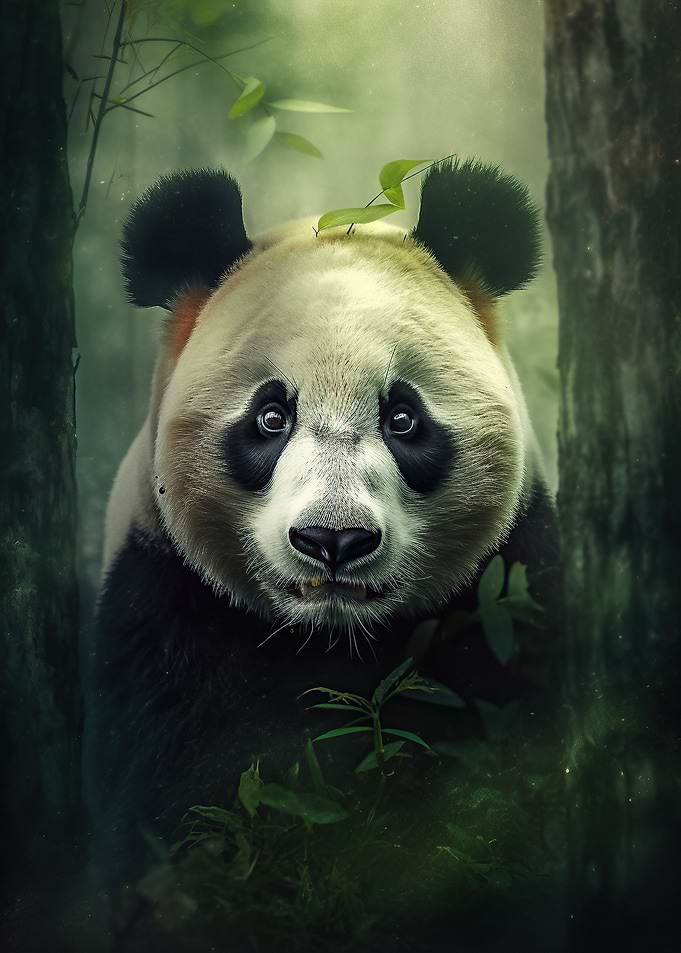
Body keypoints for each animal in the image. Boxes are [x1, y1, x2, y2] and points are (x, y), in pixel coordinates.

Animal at [87, 158, 558, 888]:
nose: (333, 539)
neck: (333, 642)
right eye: (270, 417)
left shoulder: (508, 595)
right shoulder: (162, 611)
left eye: (402, 417)